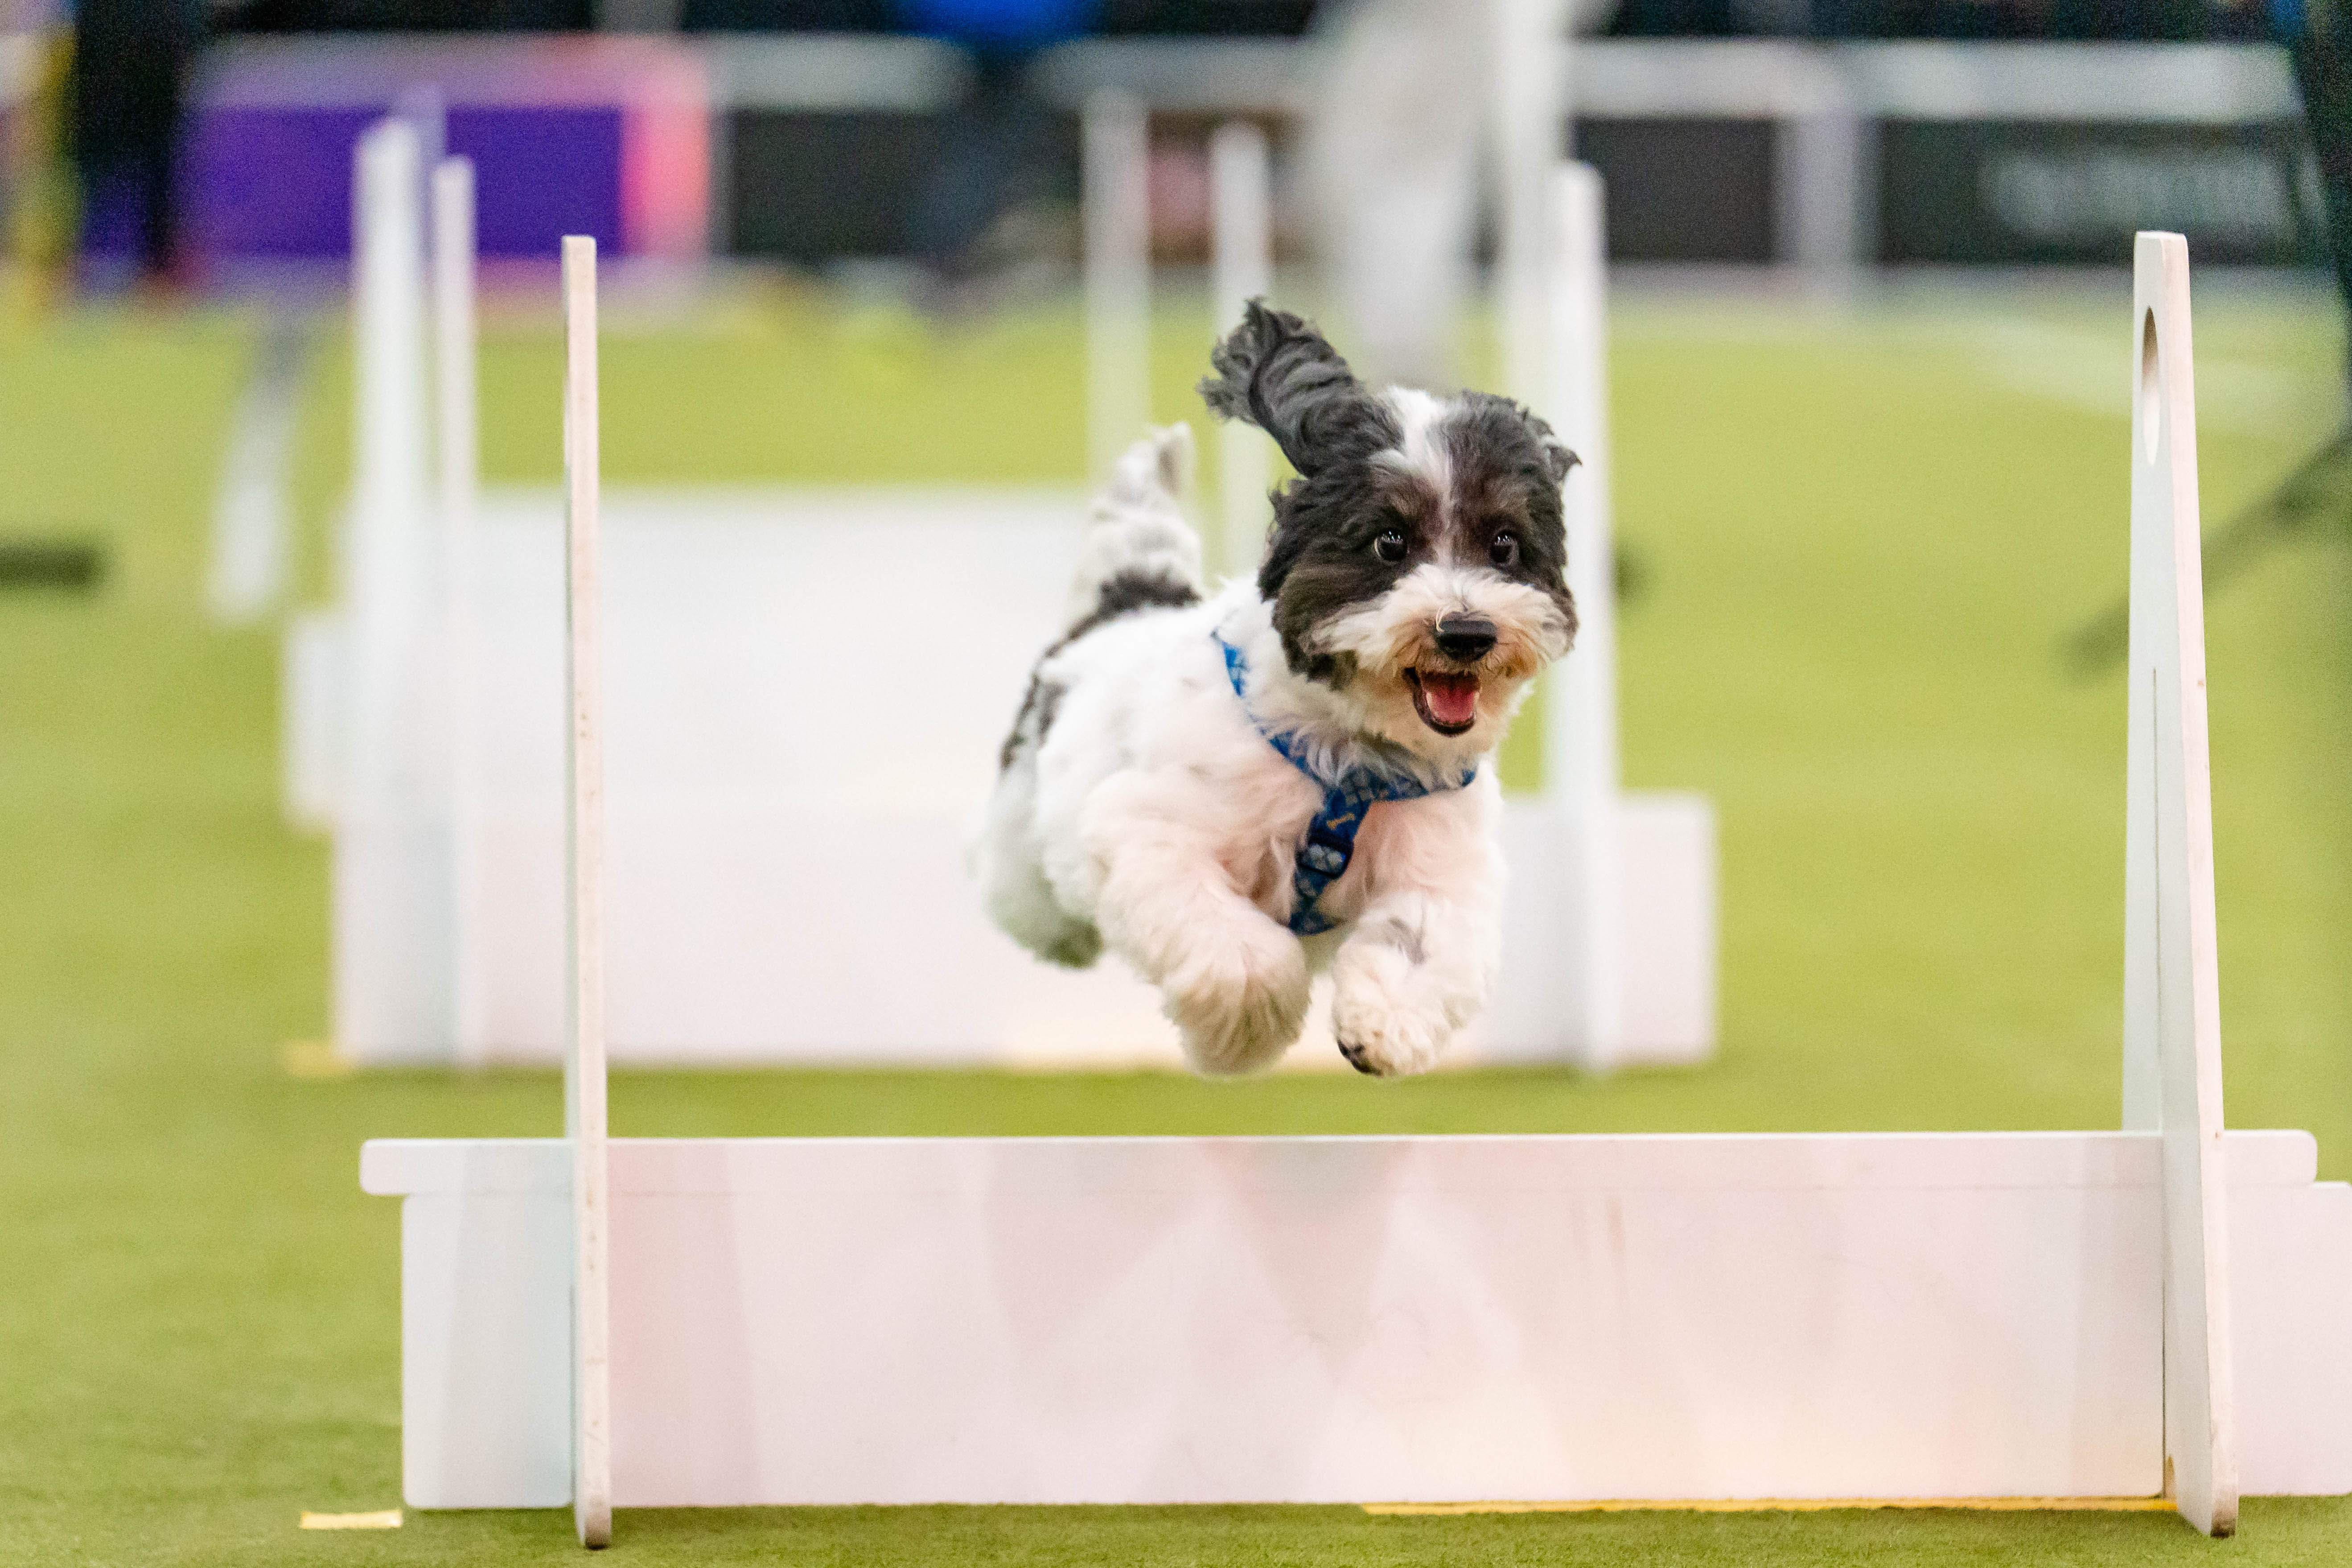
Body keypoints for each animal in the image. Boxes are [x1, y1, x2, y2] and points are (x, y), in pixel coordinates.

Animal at [974, 300, 1580, 1072]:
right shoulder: (1150, 829)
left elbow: (1423, 943)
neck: (1348, 760)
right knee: (1023, 897)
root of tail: (1129, 602)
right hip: (1024, 847)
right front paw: (1249, 1033)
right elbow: (1243, 958)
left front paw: (1384, 1024)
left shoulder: (1442, 867)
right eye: (1389, 541)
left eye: (1504, 545)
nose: (1467, 632)